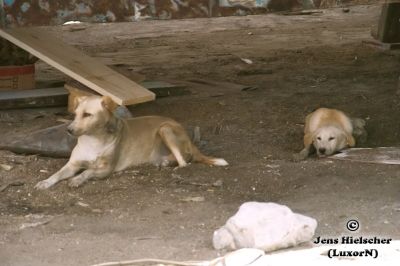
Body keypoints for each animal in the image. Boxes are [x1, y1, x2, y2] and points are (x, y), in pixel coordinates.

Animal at [34, 95, 228, 189]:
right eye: (74, 114)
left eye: (88, 115)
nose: (69, 130)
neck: (93, 140)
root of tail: (189, 139)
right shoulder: (72, 165)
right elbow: (57, 174)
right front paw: (45, 182)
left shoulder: (106, 169)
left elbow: (88, 171)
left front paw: (77, 180)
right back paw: (164, 161)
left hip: (165, 129)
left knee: (185, 162)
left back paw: (173, 167)